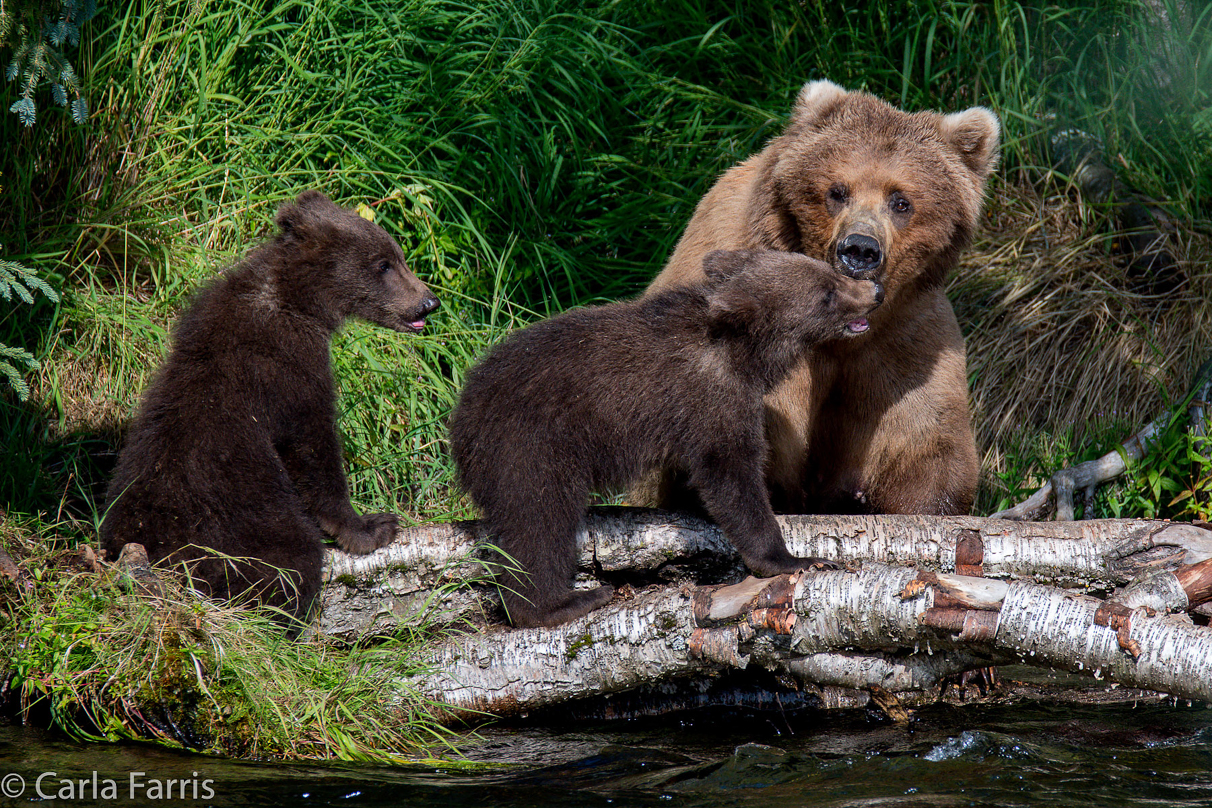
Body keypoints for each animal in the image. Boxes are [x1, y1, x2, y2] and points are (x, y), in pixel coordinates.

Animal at [644, 78, 993, 516]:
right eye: (837, 191)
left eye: (901, 201)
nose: (859, 249)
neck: (838, 335)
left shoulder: (904, 345)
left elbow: (926, 445)